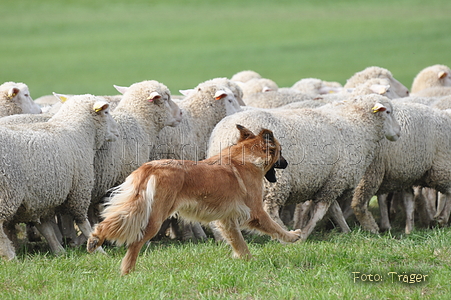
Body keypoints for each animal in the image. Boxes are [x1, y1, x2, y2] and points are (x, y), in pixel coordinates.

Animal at [0, 94, 120, 260]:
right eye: (106, 112)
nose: (117, 131)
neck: (78, 132)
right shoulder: (79, 189)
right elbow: (83, 223)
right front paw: (98, 249)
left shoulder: (39, 198)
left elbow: (45, 228)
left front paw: (59, 250)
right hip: (8, 193)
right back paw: (11, 256)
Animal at [86, 123, 302, 274]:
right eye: (280, 152)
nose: (287, 163)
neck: (247, 158)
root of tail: (151, 167)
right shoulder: (256, 212)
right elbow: (275, 228)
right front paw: (293, 236)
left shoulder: (227, 219)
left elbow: (239, 243)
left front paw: (247, 261)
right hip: (155, 218)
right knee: (136, 241)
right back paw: (127, 270)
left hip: (137, 207)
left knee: (112, 222)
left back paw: (95, 240)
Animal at [207, 95, 400, 240]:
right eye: (388, 112)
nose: (398, 133)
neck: (356, 125)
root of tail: (226, 135)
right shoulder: (335, 180)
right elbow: (320, 212)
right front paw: (305, 234)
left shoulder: (329, 180)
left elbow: (335, 210)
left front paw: (346, 231)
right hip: (277, 182)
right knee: (270, 210)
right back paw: (286, 233)